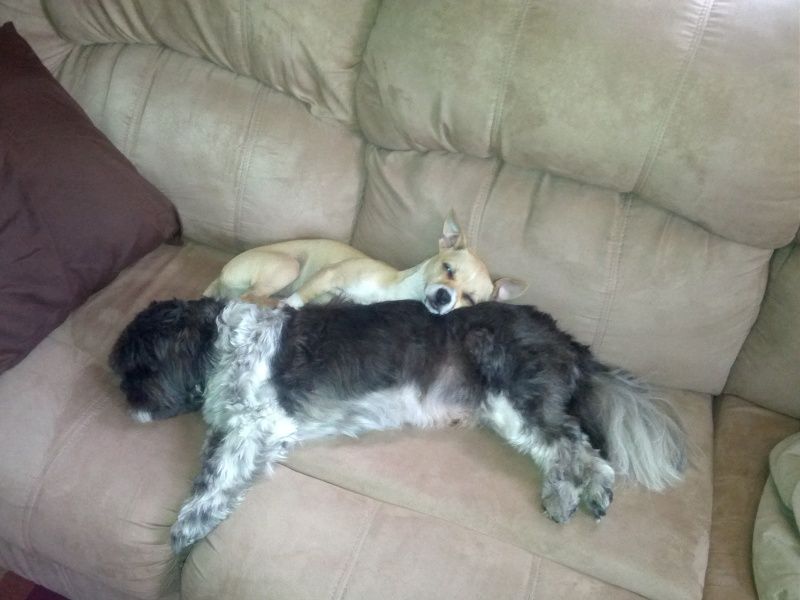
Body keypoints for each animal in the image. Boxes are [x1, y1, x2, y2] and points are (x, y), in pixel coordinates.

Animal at [110, 297, 687, 555]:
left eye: (139, 370)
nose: (125, 400)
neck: (224, 346)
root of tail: (560, 335)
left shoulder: (260, 421)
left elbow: (213, 477)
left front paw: (189, 523)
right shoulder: (240, 429)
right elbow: (218, 469)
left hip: (516, 396)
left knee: (578, 447)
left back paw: (582, 495)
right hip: (508, 411)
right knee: (570, 451)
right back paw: (573, 495)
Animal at [203, 213, 526, 314]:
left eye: (470, 299)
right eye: (447, 268)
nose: (445, 297)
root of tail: (220, 275)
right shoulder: (329, 275)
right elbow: (298, 299)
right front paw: (292, 305)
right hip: (289, 266)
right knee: (251, 296)